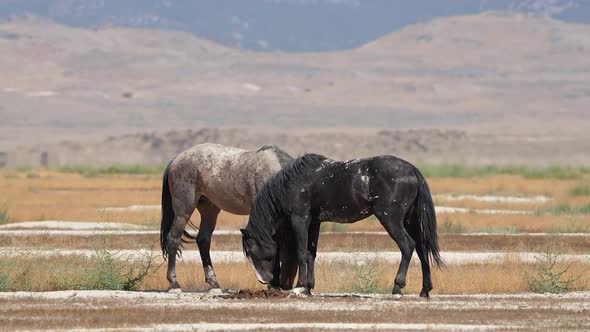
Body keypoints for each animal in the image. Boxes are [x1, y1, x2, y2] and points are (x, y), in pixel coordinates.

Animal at [161, 143, 296, 290]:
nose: (264, 279)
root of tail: (176, 159)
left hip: (210, 210)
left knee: (203, 240)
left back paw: (213, 282)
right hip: (183, 211)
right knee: (173, 239)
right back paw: (174, 283)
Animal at [242, 154, 444, 296]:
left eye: (251, 250)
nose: (263, 280)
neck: (291, 183)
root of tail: (412, 170)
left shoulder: (299, 220)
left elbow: (301, 252)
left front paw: (299, 287)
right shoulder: (314, 223)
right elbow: (310, 254)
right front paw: (308, 288)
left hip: (391, 220)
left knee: (407, 246)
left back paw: (397, 287)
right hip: (410, 221)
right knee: (421, 249)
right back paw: (425, 291)